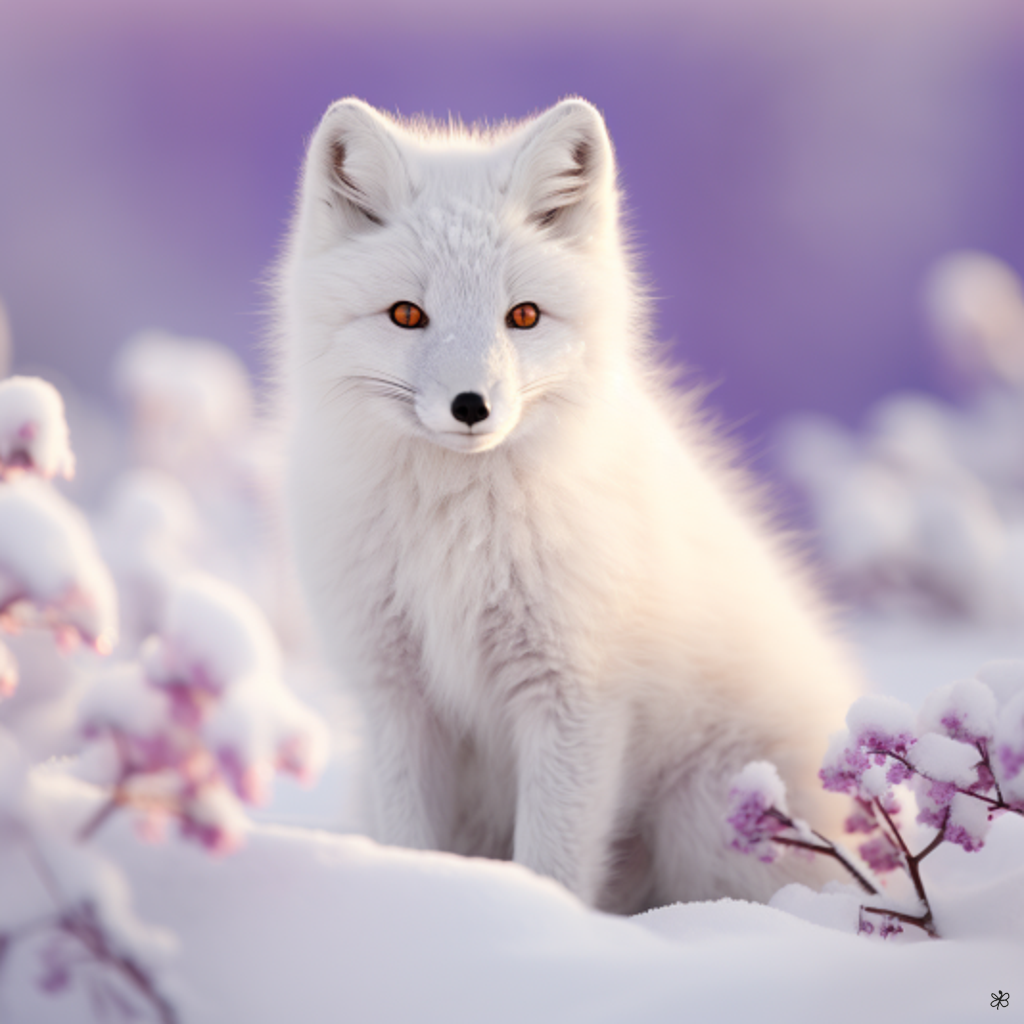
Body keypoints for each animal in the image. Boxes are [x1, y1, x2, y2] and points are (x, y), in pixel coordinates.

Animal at [276, 97, 863, 913]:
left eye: (524, 317)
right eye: (406, 315)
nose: (471, 406)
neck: (455, 538)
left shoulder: (574, 694)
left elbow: (552, 863)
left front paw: (542, 926)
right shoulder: (397, 697)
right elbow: (413, 843)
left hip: (706, 813)